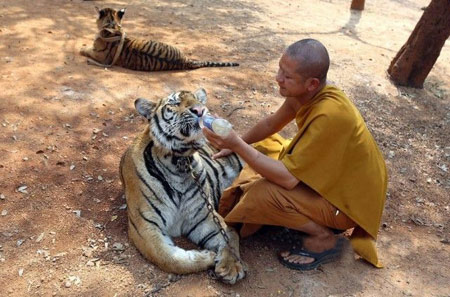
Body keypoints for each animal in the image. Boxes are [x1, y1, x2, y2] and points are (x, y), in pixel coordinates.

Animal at [119, 87, 246, 282]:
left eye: (198, 100)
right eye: (175, 103)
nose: (200, 110)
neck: (180, 162)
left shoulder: (205, 216)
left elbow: (230, 237)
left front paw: (230, 266)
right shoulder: (144, 226)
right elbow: (167, 258)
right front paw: (207, 256)